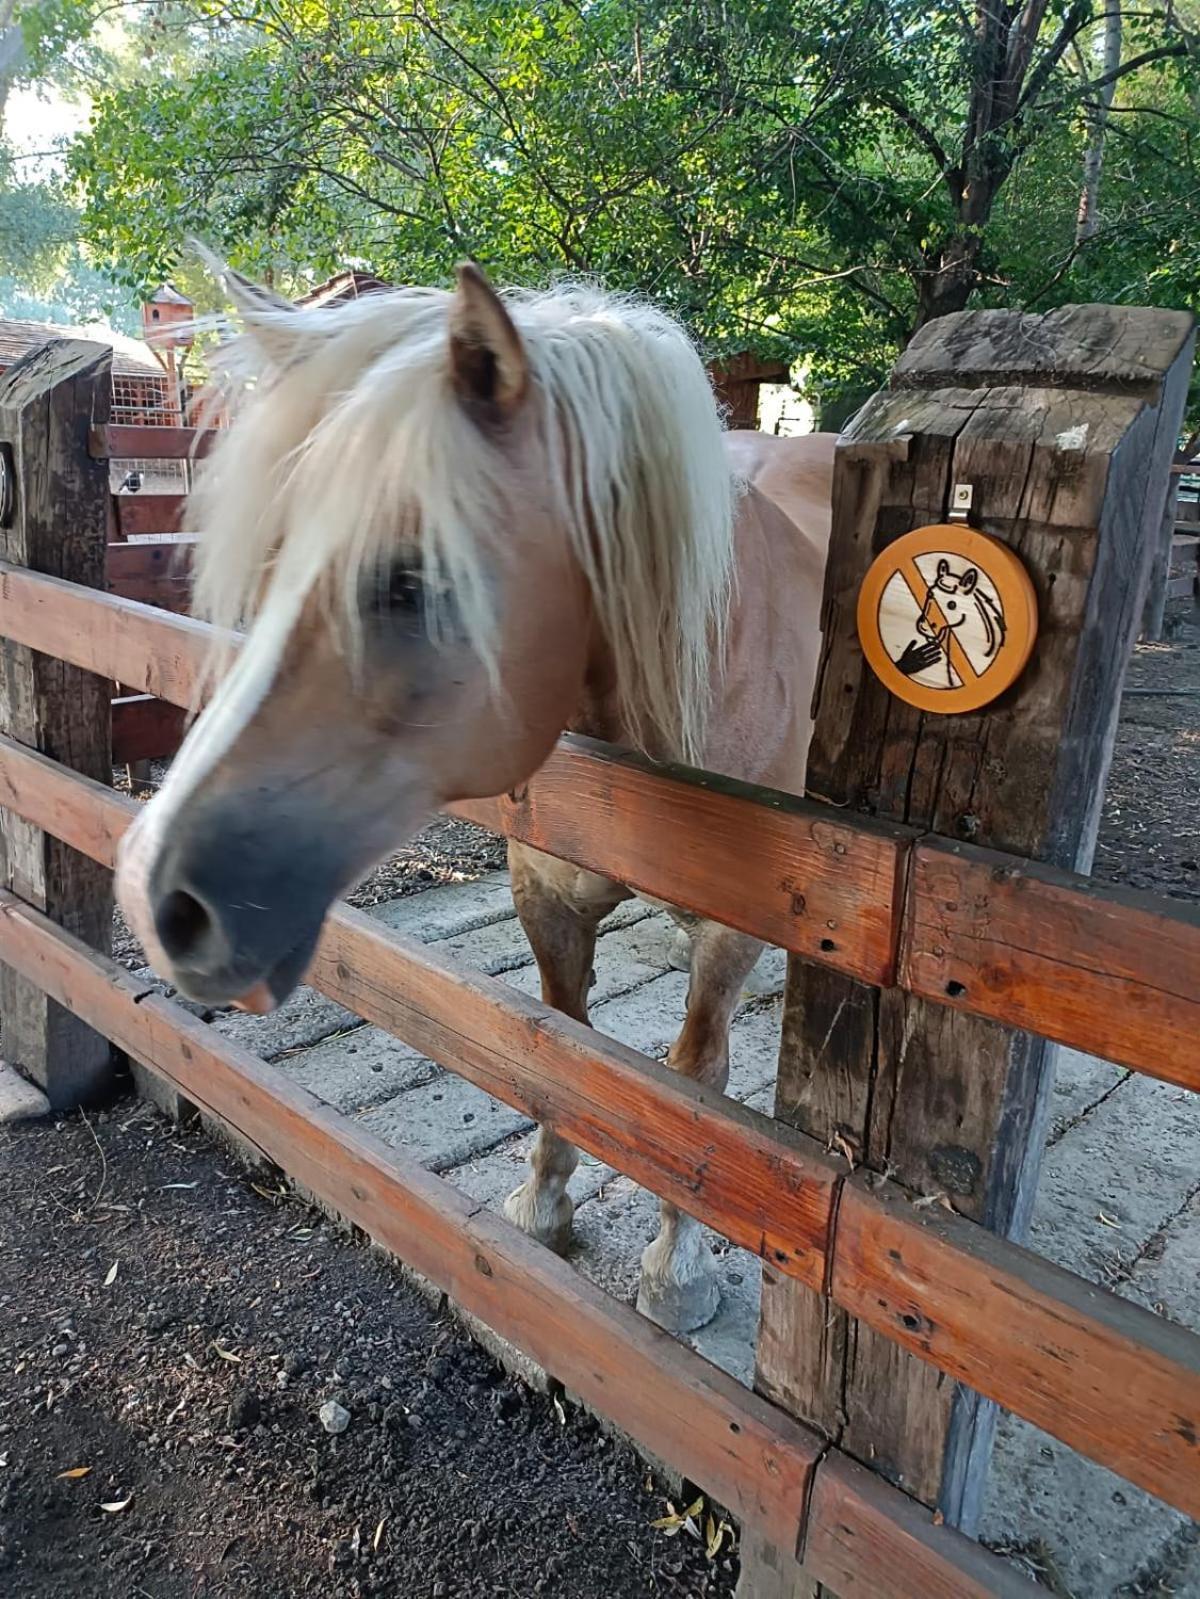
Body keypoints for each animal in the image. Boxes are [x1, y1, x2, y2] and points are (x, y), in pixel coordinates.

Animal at [120, 265, 838, 1336]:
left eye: (412, 581)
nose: (156, 896)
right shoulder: (545, 894)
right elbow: (560, 1053)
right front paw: (542, 1202)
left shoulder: (728, 932)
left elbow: (696, 1083)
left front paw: (678, 1269)